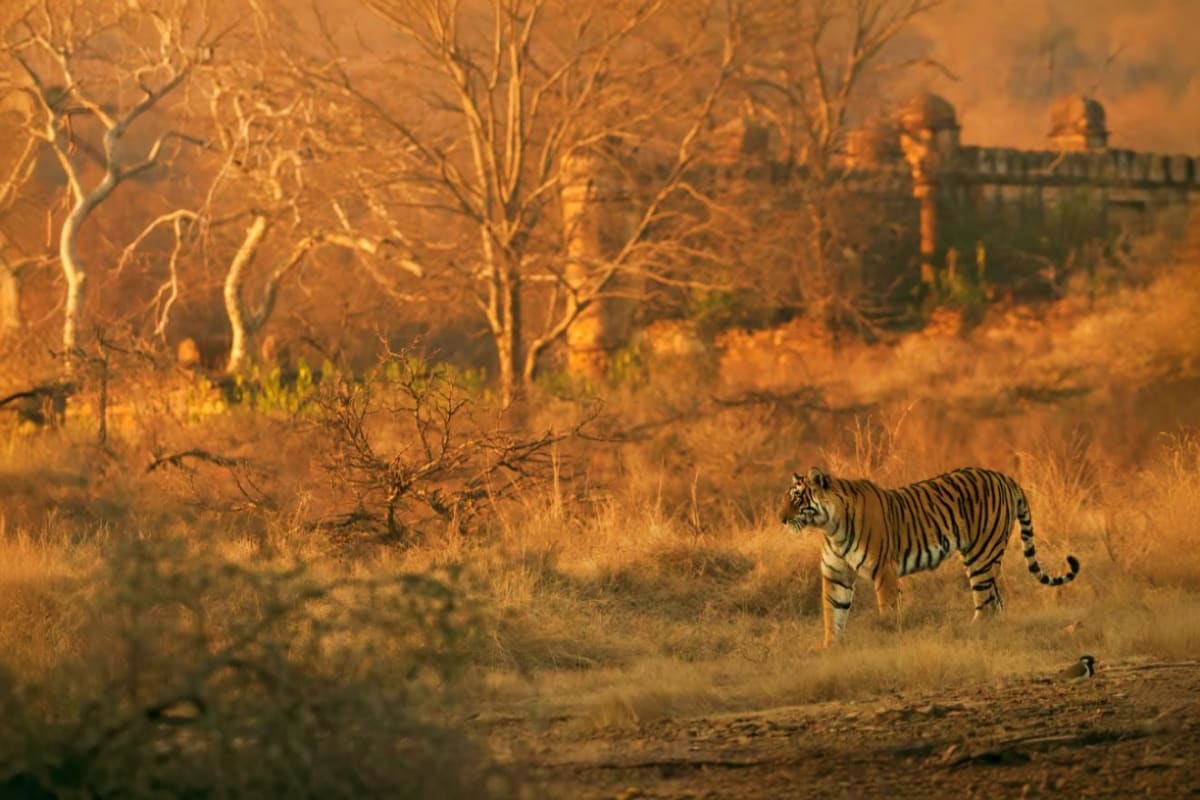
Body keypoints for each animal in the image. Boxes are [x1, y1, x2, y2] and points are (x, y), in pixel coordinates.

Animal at [779, 466, 1080, 647]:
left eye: (797, 499)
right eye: (786, 498)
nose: (780, 519)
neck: (830, 527)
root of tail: (1004, 477)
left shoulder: (884, 571)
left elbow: (887, 611)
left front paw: (888, 640)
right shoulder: (836, 575)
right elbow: (833, 614)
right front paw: (830, 650)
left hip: (982, 555)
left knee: (986, 604)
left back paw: (971, 633)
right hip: (982, 557)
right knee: (997, 603)